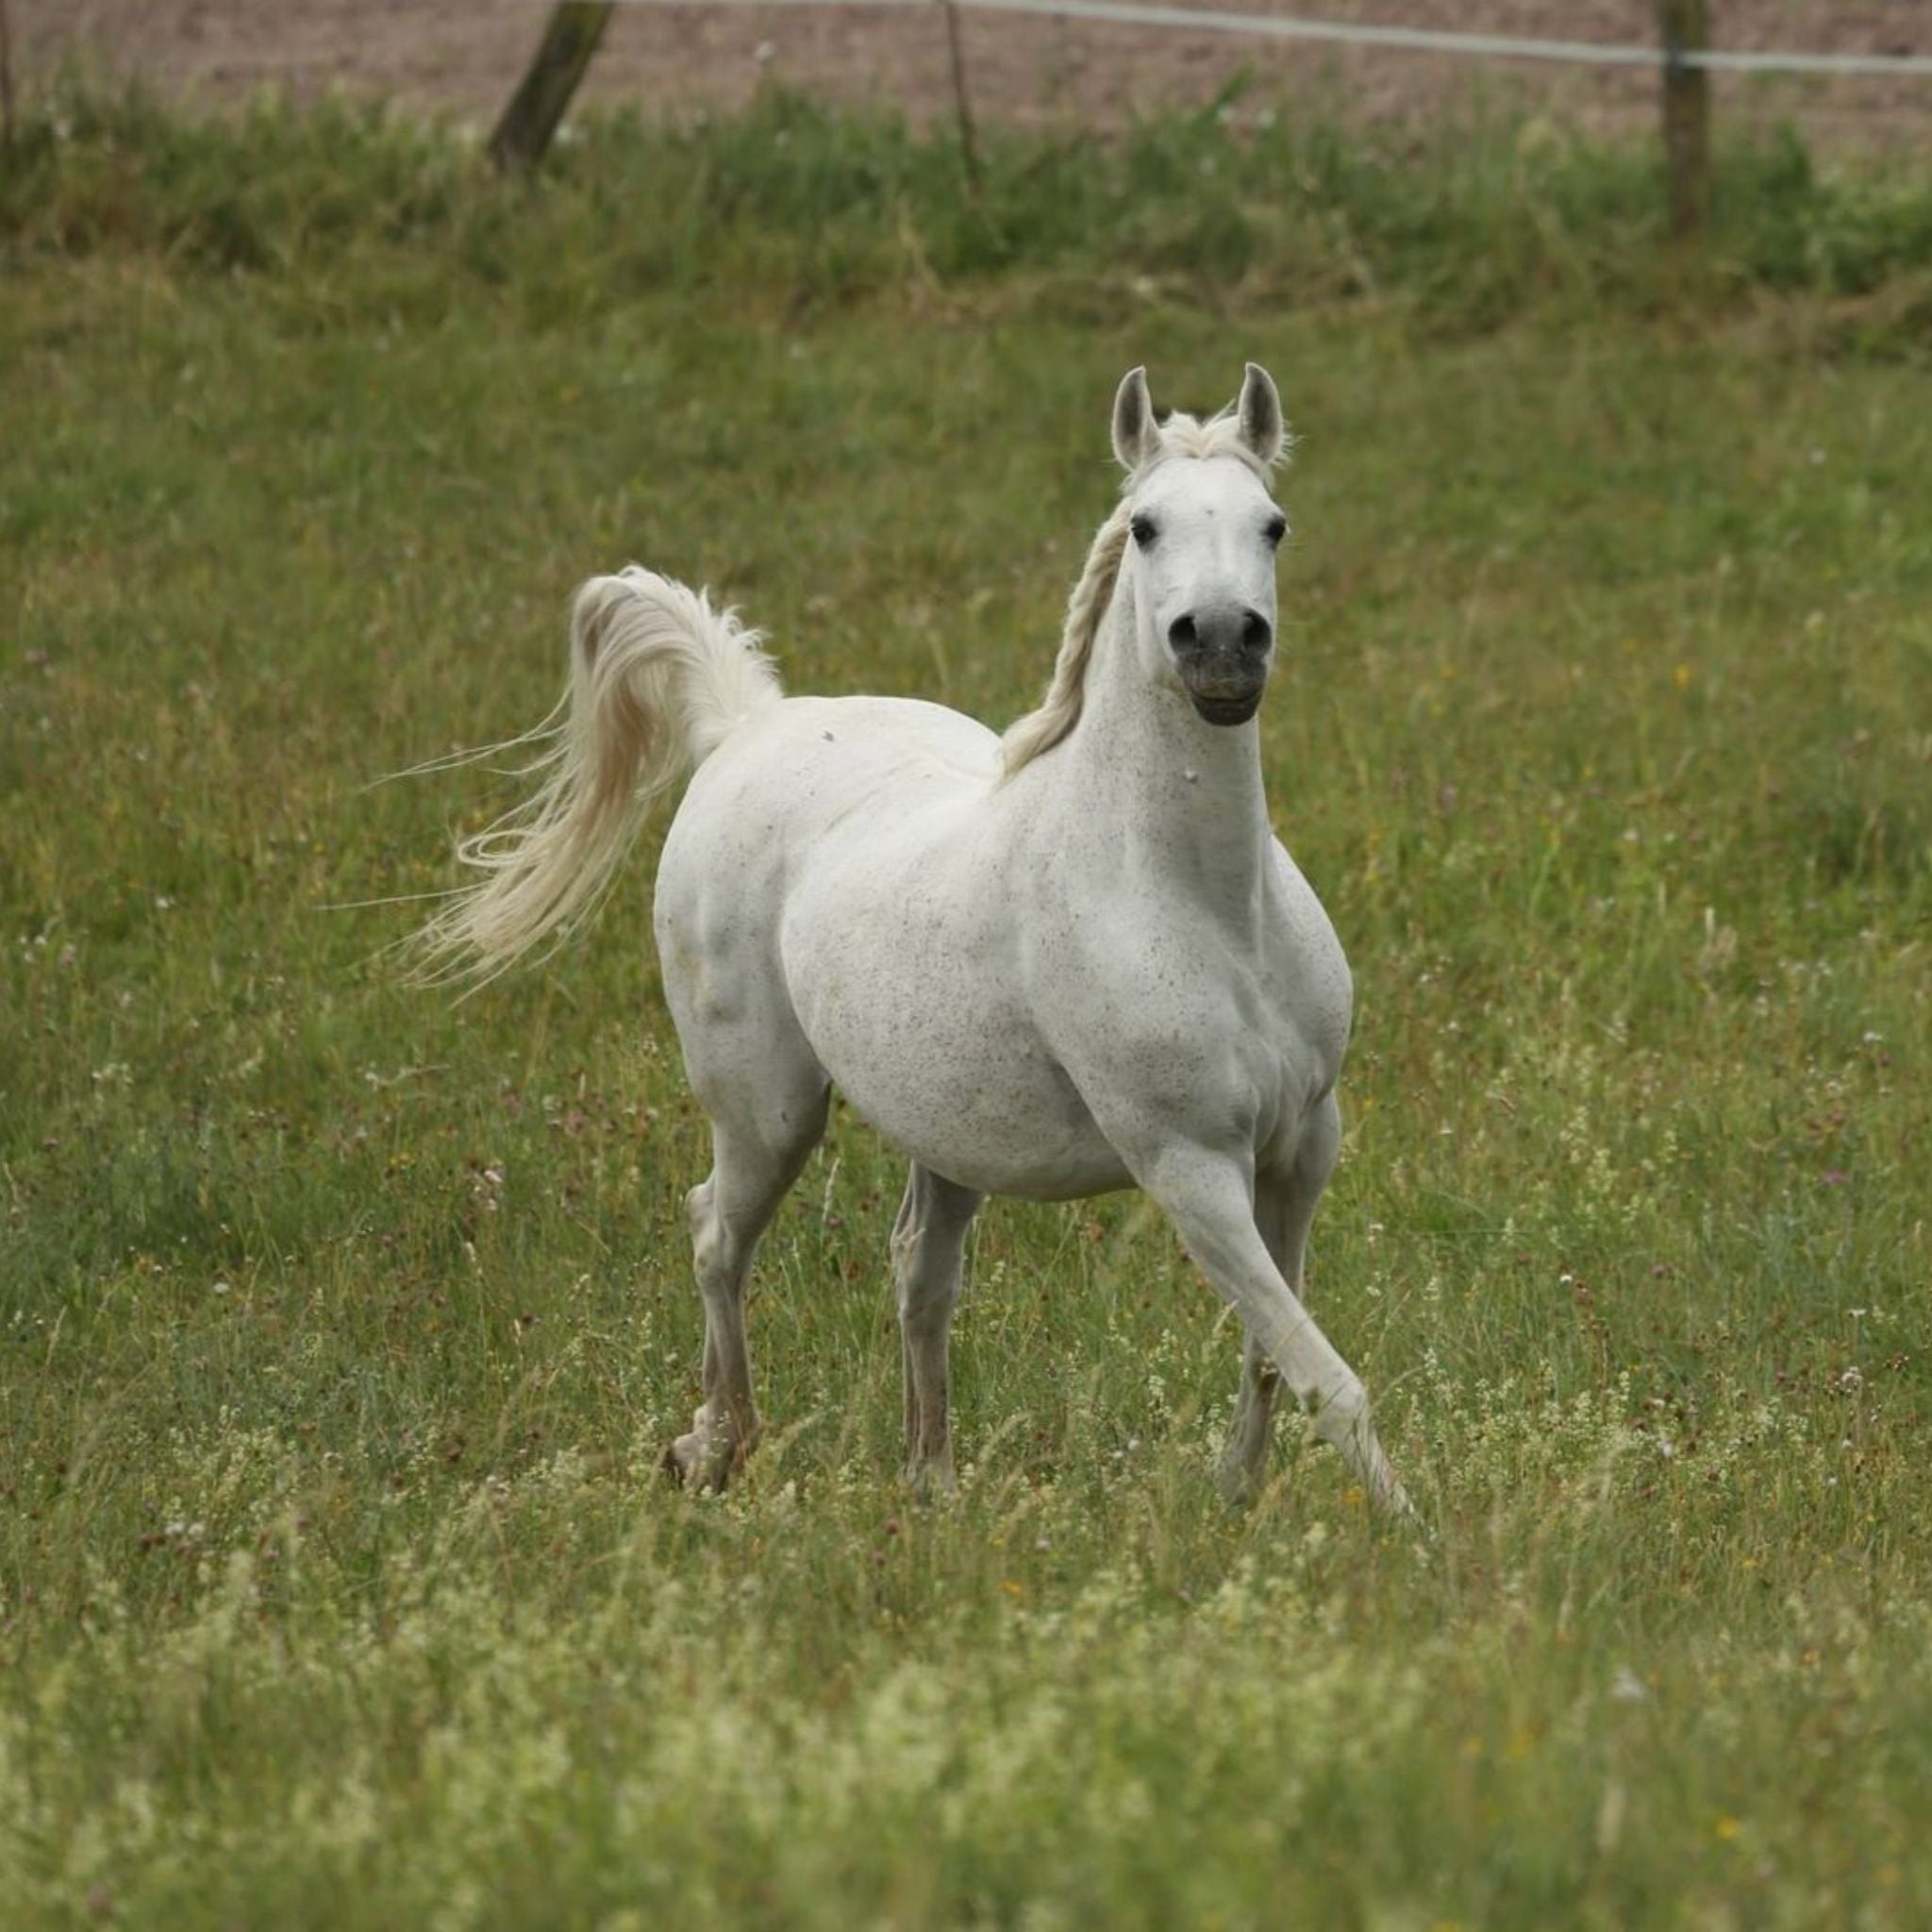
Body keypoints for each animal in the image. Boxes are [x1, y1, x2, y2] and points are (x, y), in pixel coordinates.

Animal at [423, 358, 1414, 1507]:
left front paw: (1237, 1500)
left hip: (944, 1134)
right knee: (715, 1230)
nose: (1219, 646)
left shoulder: (1302, 1144)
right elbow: (1321, 1371)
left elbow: (1272, 1347)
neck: (1203, 904)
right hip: (765, 1109)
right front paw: (1408, 1524)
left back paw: (929, 1478)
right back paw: (715, 1445)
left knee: (918, 1273)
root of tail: (744, 724)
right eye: (1146, 526)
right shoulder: (1188, 1165)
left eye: (1273, 524)